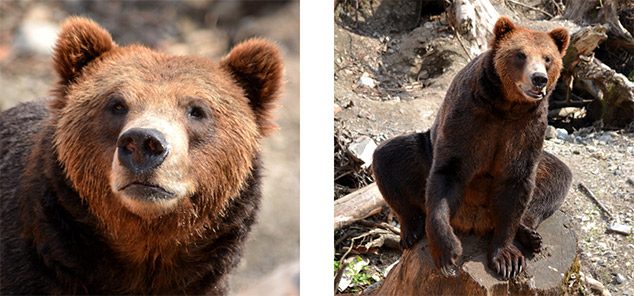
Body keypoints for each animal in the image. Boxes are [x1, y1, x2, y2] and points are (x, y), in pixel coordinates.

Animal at [372, 16, 572, 280]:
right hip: (424, 153)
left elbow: (517, 181)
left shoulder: (526, 129)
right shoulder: (468, 116)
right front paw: (447, 251)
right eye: (520, 54)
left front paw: (507, 258)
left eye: (548, 58)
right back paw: (411, 230)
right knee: (388, 157)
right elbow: (448, 171)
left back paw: (529, 234)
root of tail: (474, 221)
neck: (506, 105)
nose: (538, 78)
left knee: (558, 176)